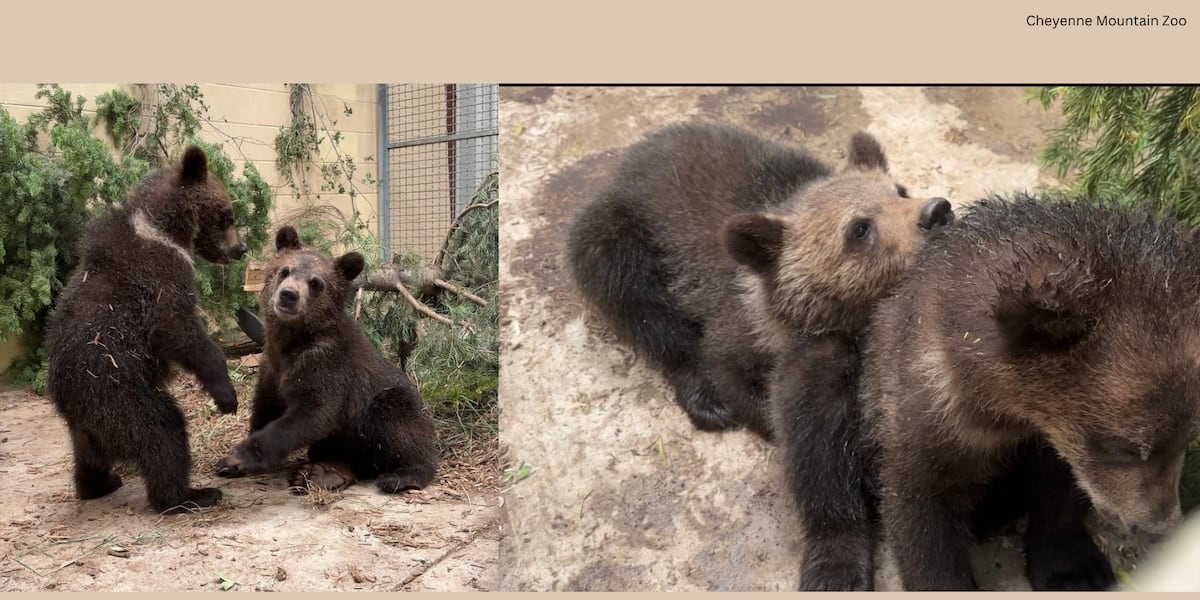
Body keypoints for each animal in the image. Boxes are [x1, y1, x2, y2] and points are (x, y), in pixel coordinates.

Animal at [46, 145, 246, 515]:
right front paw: (226, 395)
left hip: (84, 425)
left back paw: (99, 484)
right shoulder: (160, 277)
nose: (241, 249)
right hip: (118, 394)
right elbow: (178, 329)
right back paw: (187, 495)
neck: (164, 229)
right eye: (227, 216)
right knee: (162, 431)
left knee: (88, 459)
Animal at [214, 226, 437, 494]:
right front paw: (229, 462)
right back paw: (321, 473)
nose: (288, 295)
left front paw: (242, 455)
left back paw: (402, 476)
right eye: (285, 270)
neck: (292, 341)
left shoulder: (328, 365)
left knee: (396, 424)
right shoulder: (271, 368)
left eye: (315, 283)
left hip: (389, 406)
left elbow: (314, 413)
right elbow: (264, 407)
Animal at [852, 195, 1200, 590]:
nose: (1160, 527)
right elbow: (920, 512)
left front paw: (1073, 569)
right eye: (1123, 446)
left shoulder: (1051, 438)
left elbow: (1061, 486)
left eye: (1190, 436)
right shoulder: (923, 413)